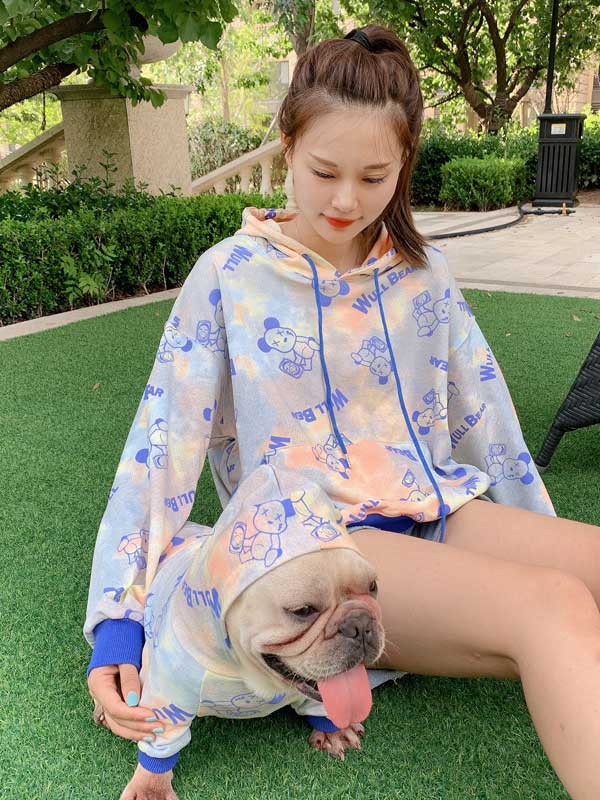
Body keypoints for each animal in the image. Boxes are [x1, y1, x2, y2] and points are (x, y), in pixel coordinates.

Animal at [105, 465, 386, 800]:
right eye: (303, 611)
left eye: (373, 586)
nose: (360, 624)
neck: (248, 674)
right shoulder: (168, 698)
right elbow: (163, 742)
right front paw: (152, 786)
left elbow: (324, 704)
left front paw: (333, 729)